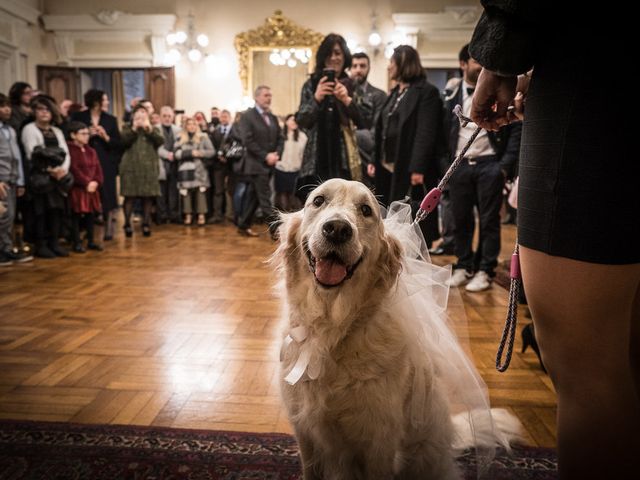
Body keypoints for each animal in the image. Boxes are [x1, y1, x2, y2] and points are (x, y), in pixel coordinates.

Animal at [272, 178, 516, 478]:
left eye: (366, 210)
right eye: (318, 201)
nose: (338, 229)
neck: (333, 328)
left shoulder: (379, 443)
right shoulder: (305, 434)